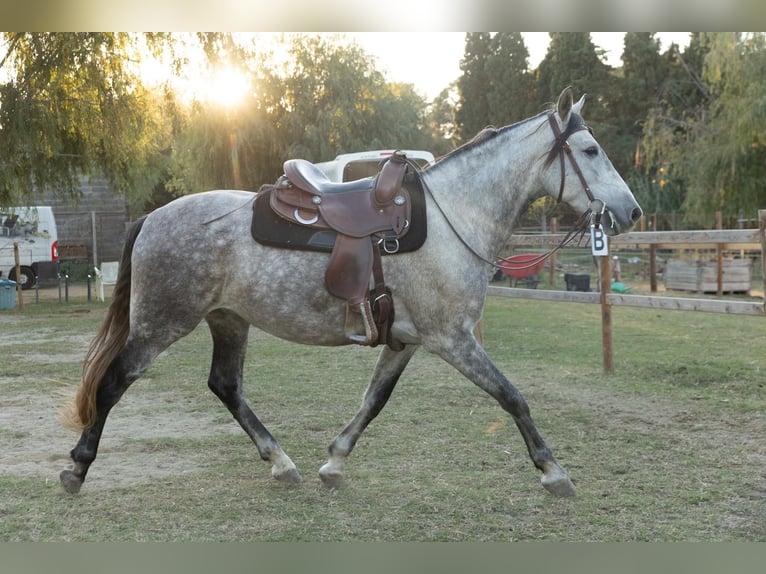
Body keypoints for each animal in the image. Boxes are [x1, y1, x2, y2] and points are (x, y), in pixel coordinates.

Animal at [59, 87, 642, 497]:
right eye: (590, 149)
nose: (632, 211)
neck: (453, 216)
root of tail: (153, 217)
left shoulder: (405, 340)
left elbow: (373, 401)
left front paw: (334, 461)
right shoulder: (452, 339)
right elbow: (512, 396)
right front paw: (553, 471)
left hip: (228, 319)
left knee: (224, 386)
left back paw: (282, 462)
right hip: (161, 323)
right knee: (113, 383)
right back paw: (77, 468)